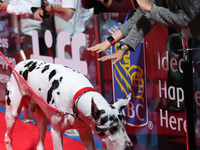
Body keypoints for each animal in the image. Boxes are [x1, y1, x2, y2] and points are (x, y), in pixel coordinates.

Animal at [3, 59, 134, 149]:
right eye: (112, 128)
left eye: (125, 126)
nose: (130, 148)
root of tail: (19, 64)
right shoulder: (56, 133)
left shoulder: (85, 133)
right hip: (12, 115)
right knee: (7, 138)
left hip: (42, 122)